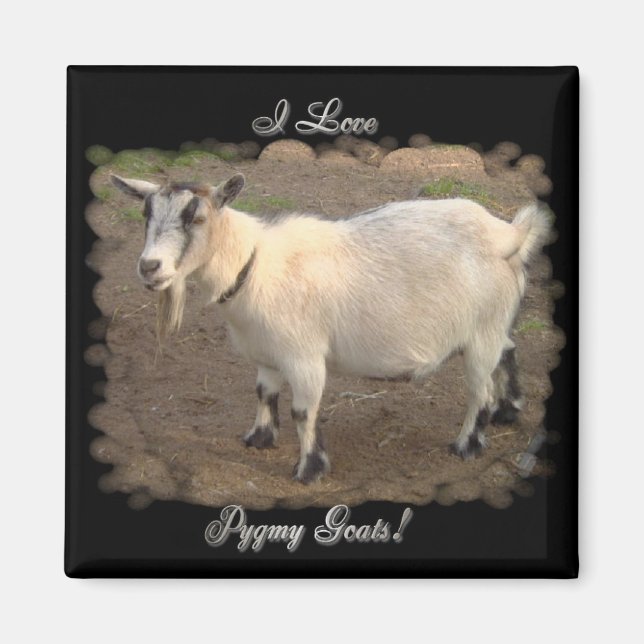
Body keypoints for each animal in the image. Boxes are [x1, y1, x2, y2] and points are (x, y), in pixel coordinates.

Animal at [111, 173, 552, 483]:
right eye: (146, 215)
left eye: (198, 218)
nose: (150, 267)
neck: (254, 265)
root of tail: (509, 234)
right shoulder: (266, 354)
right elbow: (264, 394)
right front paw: (258, 439)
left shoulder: (304, 356)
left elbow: (302, 411)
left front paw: (309, 469)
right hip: (493, 323)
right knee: (507, 351)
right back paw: (509, 410)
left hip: (482, 332)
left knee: (479, 389)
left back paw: (467, 444)